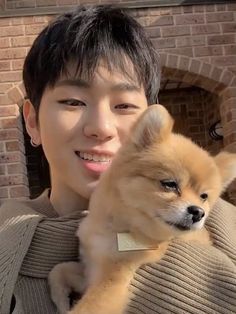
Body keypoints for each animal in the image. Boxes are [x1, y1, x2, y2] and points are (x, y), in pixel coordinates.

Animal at [48, 105, 236, 314]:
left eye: (203, 197)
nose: (198, 212)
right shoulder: (90, 269)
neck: (115, 228)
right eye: (170, 184)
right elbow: (58, 270)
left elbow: (85, 307)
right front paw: (62, 300)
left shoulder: (111, 283)